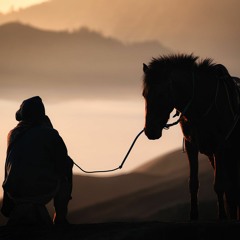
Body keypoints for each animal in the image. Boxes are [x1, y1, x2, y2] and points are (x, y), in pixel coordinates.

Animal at [142, 53, 240, 220]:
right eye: (144, 95)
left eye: (161, 94)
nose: (150, 131)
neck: (202, 104)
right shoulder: (191, 146)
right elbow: (193, 184)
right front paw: (193, 216)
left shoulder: (220, 147)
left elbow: (219, 185)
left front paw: (222, 217)